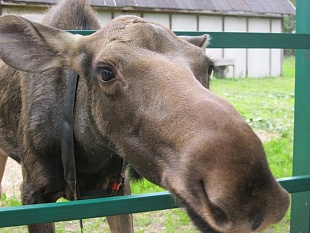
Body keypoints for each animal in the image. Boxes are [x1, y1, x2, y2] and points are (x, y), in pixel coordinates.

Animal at [0, 0, 290, 233]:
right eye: (105, 71)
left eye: (209, 67)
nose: (252, 197)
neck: (87, 158)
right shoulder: (34, 193)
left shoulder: (118, 189)